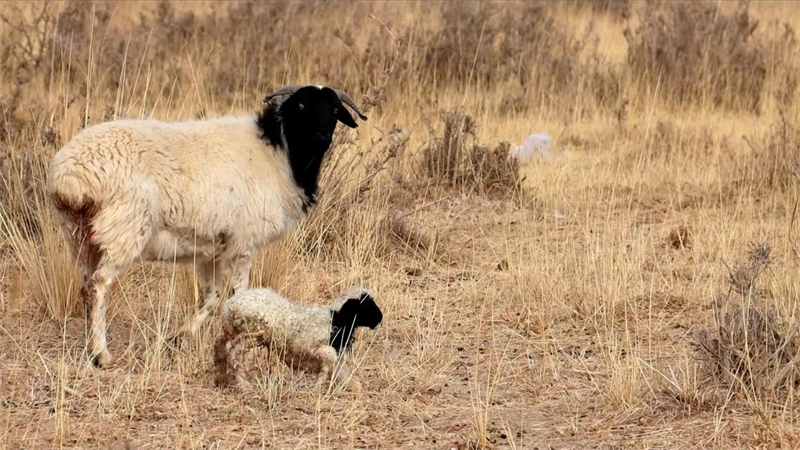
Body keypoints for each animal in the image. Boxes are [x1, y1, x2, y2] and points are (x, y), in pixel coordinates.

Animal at [51, 86, 370, 368]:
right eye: (302, 106)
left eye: (335, 110)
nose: (323, 135)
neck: (280, 153)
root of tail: (72, 175)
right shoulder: (244, 245)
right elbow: (239, 294)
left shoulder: (212, 250)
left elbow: (214, 297)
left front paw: (180, 337)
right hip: (124, 229)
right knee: (99, 285)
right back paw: (101, 355)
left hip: (79, 234)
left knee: (85, 286)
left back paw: (89, 346)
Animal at [212, 288, 382, 390]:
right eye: (366, 305)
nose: (380, 318)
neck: (336, 319)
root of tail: (231, 305)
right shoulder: (316, 349)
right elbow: (329, 363)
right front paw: (317, 386)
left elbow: (341, 371)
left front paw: (355, 388)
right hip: (253, 334)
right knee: (235, 355)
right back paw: (244, 384)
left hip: (233, 332)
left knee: (219, 347)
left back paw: (221, 379)